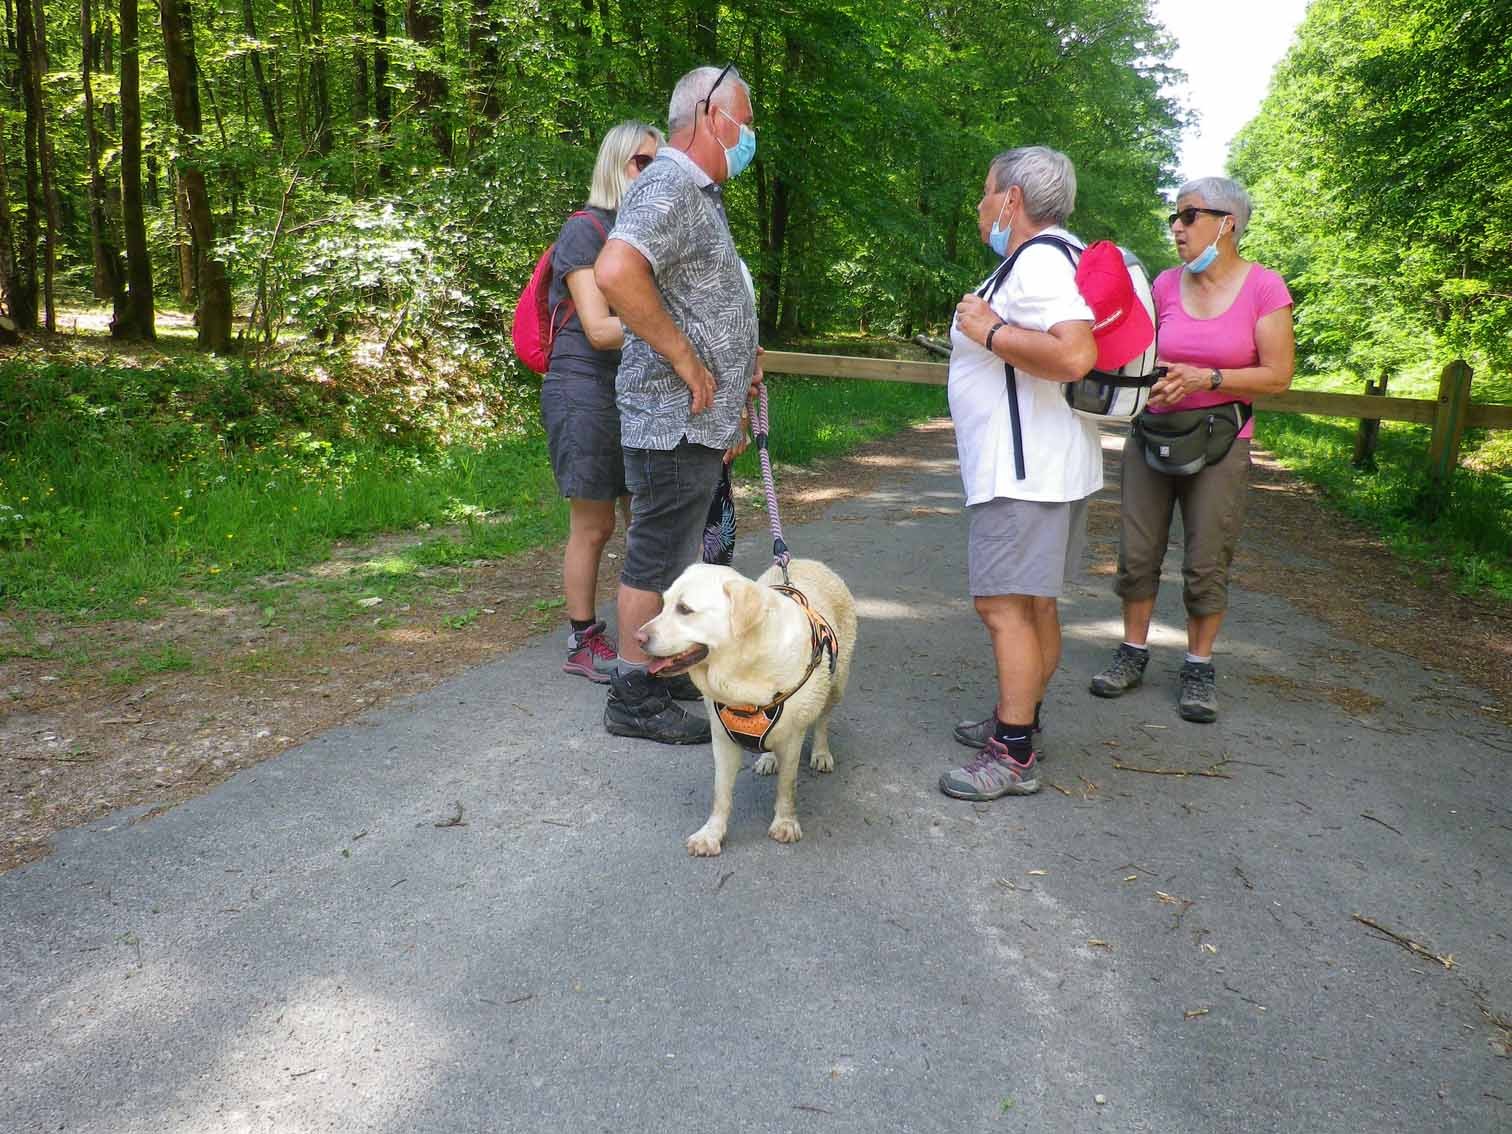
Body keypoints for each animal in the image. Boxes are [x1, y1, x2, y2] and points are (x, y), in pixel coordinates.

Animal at [638, 559, 858, 858]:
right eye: (663, 604)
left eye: (684, 609)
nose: (638, 637)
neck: (740, 673)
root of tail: (810, 562)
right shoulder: (722, 738)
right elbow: (721, 793)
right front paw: (712, 833)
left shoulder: (793, 737)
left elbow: (787, 785)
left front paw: (785, 822)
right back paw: (768, 758)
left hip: (836, 683)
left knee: (823, 718)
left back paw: (821, 753)